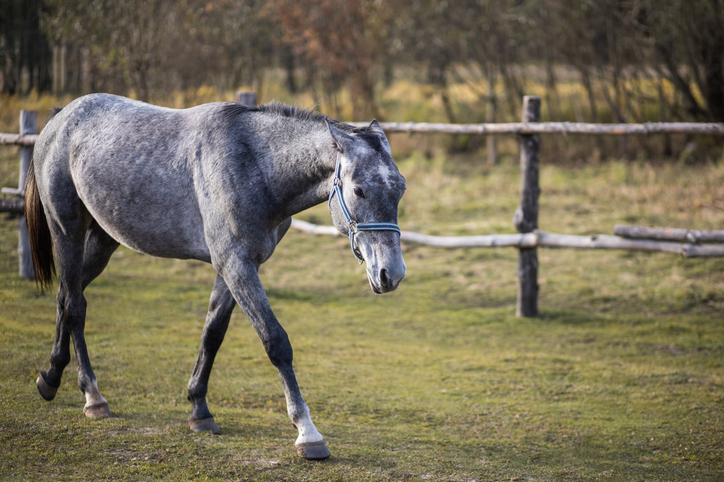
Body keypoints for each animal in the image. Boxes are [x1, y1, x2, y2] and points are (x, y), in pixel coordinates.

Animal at [24, 94, 408, 460]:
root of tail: (60, 119)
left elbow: (213, 334)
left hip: (104, 240)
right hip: (66, 231)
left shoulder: (236, 266)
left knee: (66, 296)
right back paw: (93, 396)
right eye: (359, 190)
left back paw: (51, 378)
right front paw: (307, 432)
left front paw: (199, 410)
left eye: (401, 188)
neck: (254, 167)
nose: (392, 274)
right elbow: (275, 342)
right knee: (75, 306)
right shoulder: (235, 263)